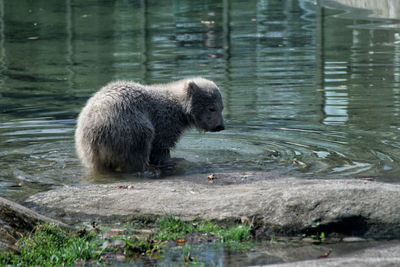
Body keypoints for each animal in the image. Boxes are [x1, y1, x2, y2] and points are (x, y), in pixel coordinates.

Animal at [75, 77, 225, 173]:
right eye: (212, 108)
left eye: (222, 107)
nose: (220, 127)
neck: (180, 109)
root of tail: (95, 130)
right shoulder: (164, 121)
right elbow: (161, 147)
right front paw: (170, 161)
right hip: (128, 127)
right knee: (140, 145)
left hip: (86, 147)